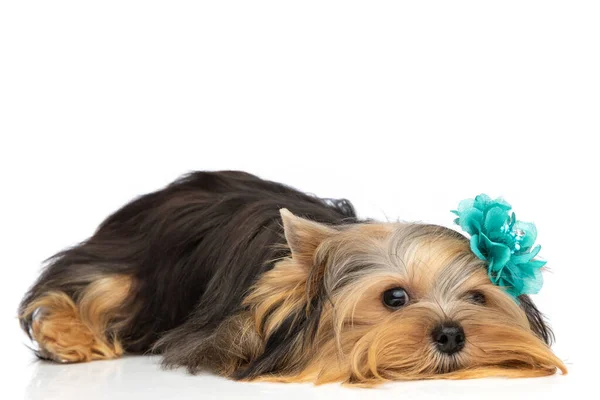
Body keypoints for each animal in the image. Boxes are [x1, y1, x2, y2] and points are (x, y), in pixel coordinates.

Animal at [17, 170, 564, 386]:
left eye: (477, 297)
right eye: (394, 297)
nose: (452, 335)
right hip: (134, 262)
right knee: (94, 286)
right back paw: (70, 335)